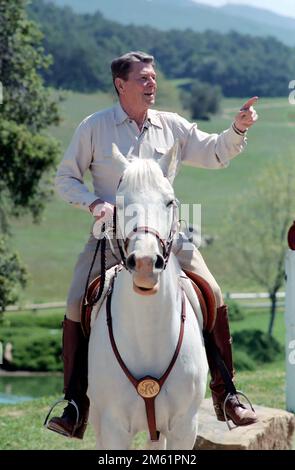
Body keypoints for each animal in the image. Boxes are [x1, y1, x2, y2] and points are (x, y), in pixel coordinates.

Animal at [88, 144, 208, 452]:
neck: (148, 333)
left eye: (169, 202)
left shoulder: (184, 427)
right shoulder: (114, 428)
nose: (144, 265)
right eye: (119, 203)